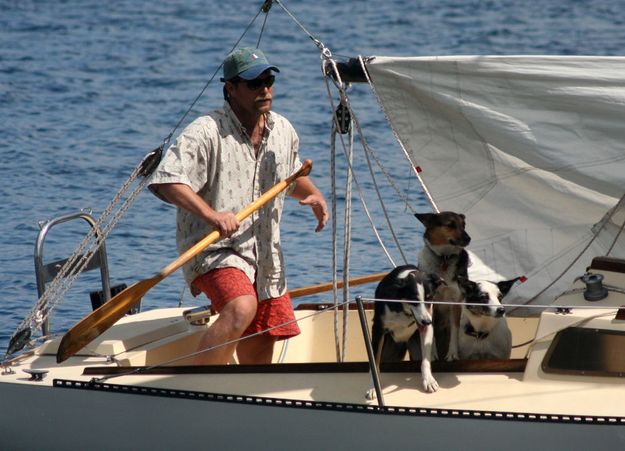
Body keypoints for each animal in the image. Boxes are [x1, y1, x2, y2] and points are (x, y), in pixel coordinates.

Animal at [366, 264, 444, 400]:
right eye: (414, 300)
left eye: (430, 298)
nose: (427, 321)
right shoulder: (378, 329)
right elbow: (374, 363)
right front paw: (373, 388)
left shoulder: (426, 326)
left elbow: (425, 360)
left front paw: (428, 380)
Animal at [416, 210, 470, 362]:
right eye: (450, 225)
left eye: (464, 225)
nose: (468, 238)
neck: (444, 258)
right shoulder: (430, 302)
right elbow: (431, 330)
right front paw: (432, 354)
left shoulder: (455, 302)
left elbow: (454, 330)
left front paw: (452, 354)